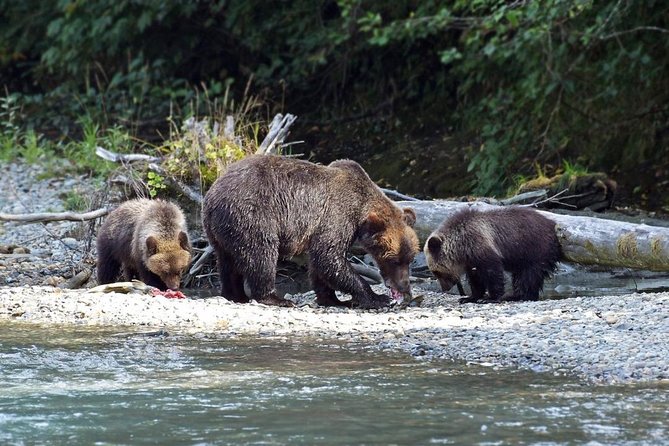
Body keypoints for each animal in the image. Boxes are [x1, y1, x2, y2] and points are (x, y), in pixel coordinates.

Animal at [201, 155, 420, 309]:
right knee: (261, 255)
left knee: (228, 261)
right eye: (394, 260)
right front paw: (377, 298)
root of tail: (211, 195)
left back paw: (235, 295)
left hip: (222, 230)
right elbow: (328, 256)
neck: (361, 210)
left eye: (409, 259)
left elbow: (320, 264)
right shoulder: (337, 214)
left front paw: (332, 299)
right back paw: (275, 298)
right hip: (253, 215)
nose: (404, 287)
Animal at [424, 206, 561, 303]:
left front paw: (490, 298)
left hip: (534, 248)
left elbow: (492, 272)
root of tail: (552, 223)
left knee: (529, 274)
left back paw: (518, 295)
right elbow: (475, 279)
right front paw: (469, 297)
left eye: (437, 272)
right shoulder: (471, 260)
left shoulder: (481, 246)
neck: (461, 247)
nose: (444, 288)